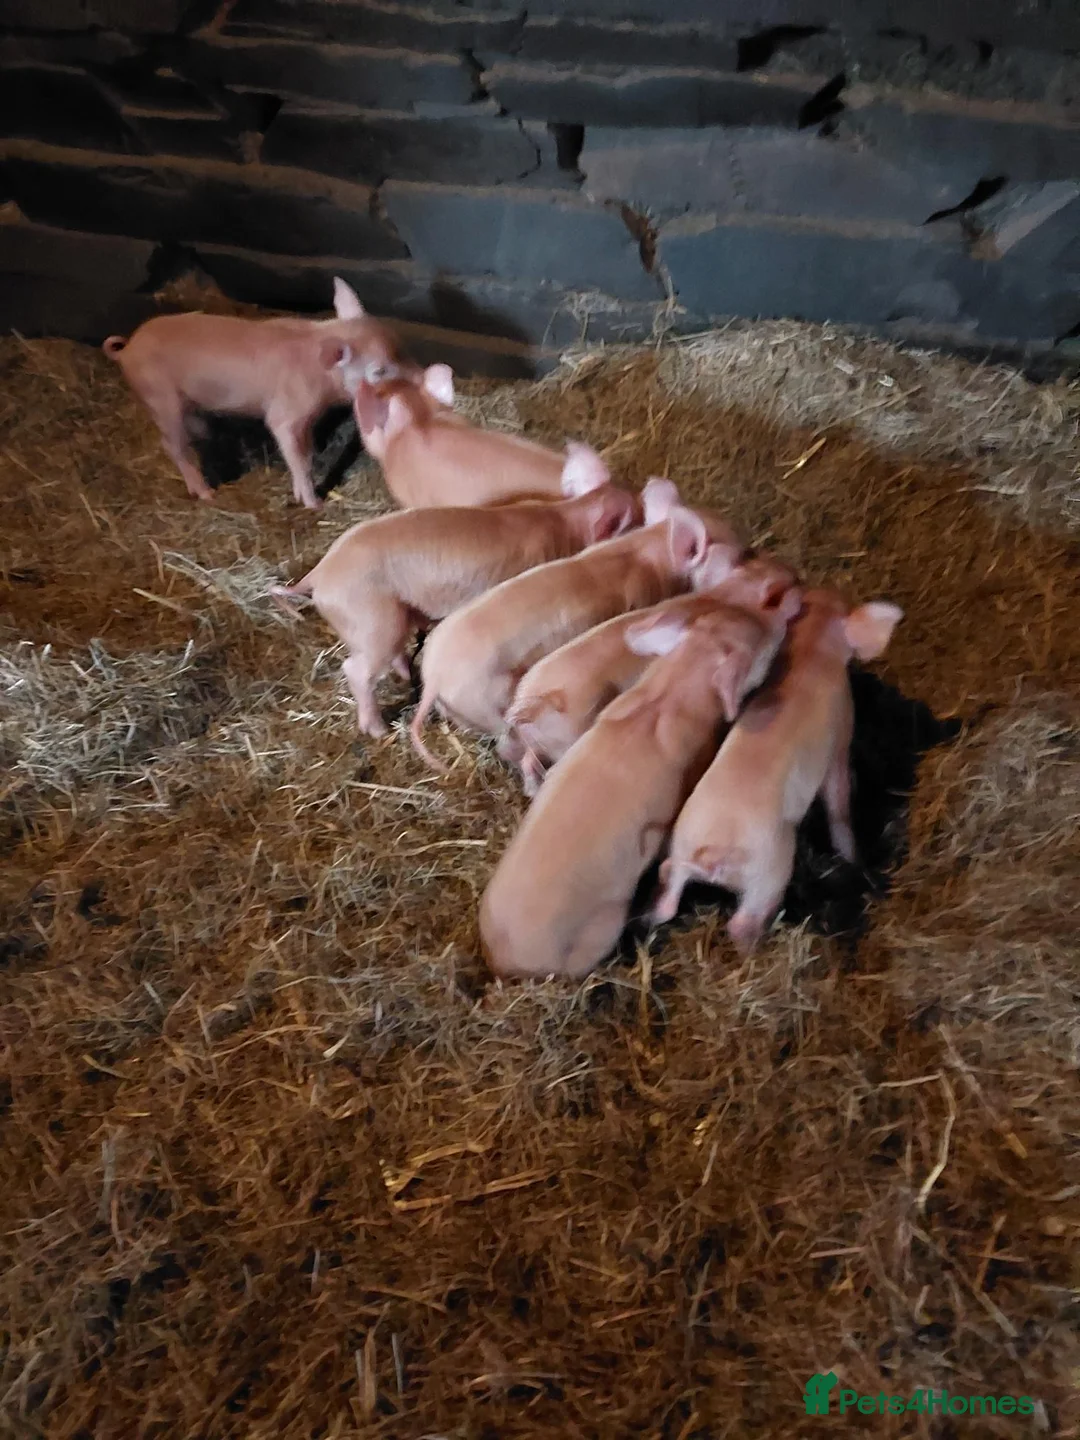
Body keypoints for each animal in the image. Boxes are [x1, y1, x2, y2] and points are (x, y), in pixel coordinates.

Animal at [103, 278, 413, 510]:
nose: (418, 377)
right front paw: (314, 504)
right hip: (160, 397)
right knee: (172, 445)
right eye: (378, 371)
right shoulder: (285, 414)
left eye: (399, 348)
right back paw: (206, 494)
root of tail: (127, 349)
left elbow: (306, 451)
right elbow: (299, 457)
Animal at [271, 444, 636, 737]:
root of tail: (319, 574)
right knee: (357, 670)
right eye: (633, 520)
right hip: (372, 620)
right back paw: (377, 731)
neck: (564, 522)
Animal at [506, 553, 800, 795]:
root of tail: (536, 702)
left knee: (529, 761)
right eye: (785, 582)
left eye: (761, 563)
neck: (732, 596)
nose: (794, 572)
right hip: (566, 739)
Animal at [648, 588, 903, 955]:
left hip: (679, 852)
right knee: (742, 923)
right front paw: (854, 859)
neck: (812, 650)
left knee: (667, 893)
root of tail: (710, 852)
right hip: (769, 873)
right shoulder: (840, 733)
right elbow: (838, 803)